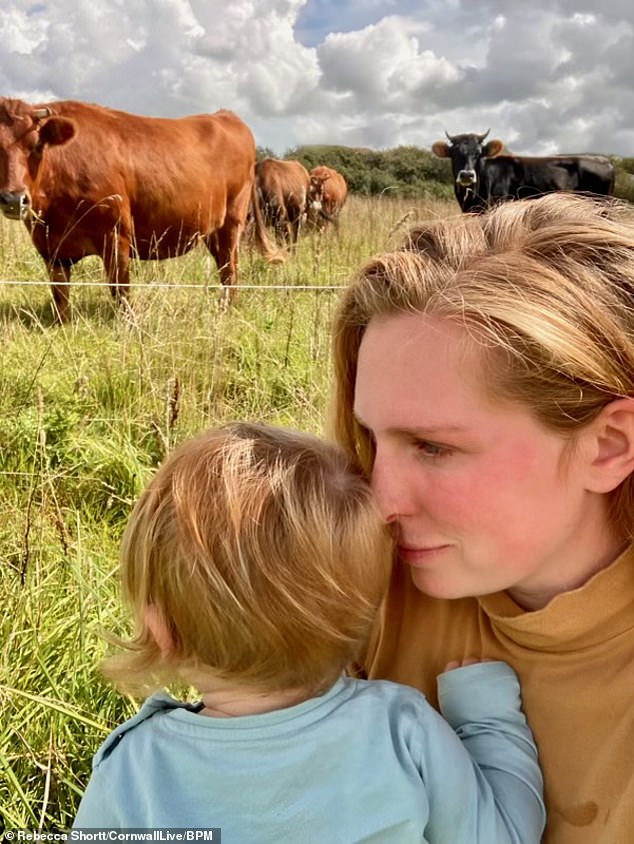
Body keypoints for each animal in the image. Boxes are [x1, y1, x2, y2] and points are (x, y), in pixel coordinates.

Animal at [0, 97, 282, 324]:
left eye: (37, 146)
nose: (13, 198)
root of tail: (226, 115)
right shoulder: (51, 248)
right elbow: (60, 295)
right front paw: (63, 325)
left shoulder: (116, 236)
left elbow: (120, 290)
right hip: (211, 230)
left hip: (232, 222)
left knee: (230, 269)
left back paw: (225, 310)